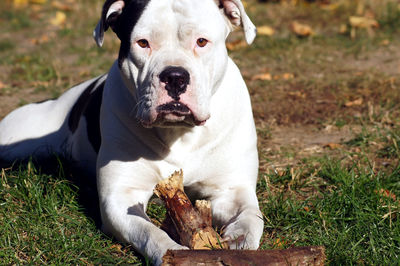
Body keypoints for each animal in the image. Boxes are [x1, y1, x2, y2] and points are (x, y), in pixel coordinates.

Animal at [0, 0, 264, 264]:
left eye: (201, 41)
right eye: (143, 43)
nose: (175, 77)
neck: (178, 133)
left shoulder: (232, 190)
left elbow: (251, 218)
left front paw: (240, 243)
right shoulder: (121, 197)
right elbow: (149, 232)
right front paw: (173, 253)